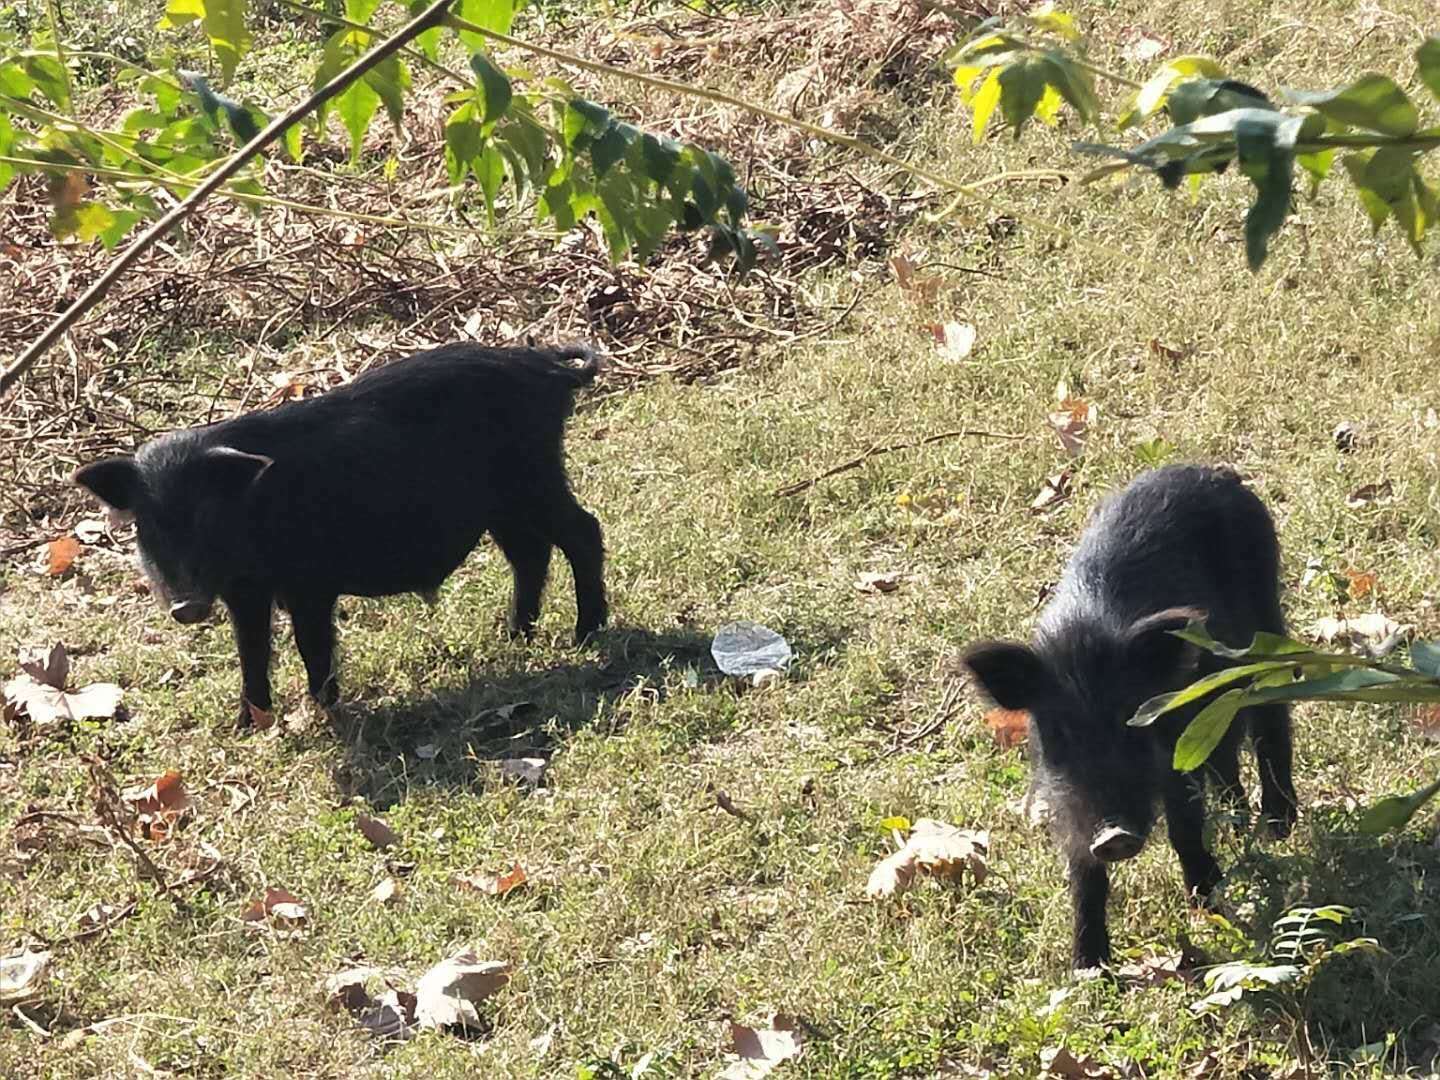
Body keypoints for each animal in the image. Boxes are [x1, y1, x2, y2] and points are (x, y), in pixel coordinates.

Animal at [73, 342, 607, 731]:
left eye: (205, 516)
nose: (185, 606)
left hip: (535, 477)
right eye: (148, 523)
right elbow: (252, 651)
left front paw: (323, 712)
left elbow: (311, 643)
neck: (253, 516)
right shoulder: (246, 592)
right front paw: (246, 725)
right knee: (530, 553)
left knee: (583, 531)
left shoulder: (310, 584)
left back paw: (586, 636)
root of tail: (546, 368)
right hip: (504, 504)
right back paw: (514, 637)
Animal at [967, 466, 1296, 973]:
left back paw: (1278, 825)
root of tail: (1208, 470)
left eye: (1131, 717)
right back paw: (1239, 821)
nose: (1114, 835)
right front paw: (1087, 968)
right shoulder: (1065, 794)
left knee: (1271, 712)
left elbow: (1185, 826)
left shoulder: (1176, 752)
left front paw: (1209, 908)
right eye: (1060, 730)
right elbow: (1081, 870)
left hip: (1265, 614)